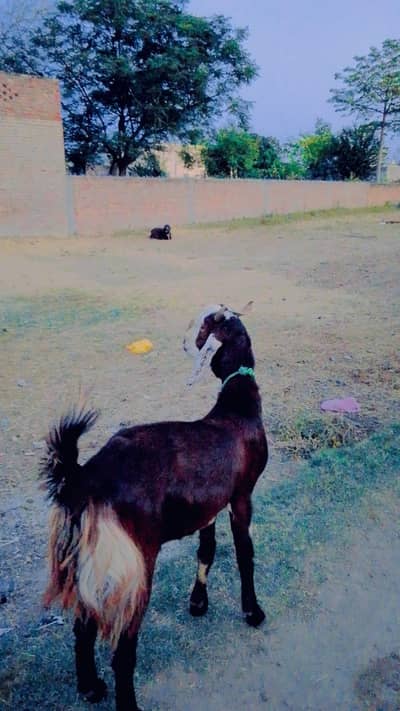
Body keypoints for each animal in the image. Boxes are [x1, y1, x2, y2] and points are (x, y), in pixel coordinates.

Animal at [40, 304, 268, 711]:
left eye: (206, 328)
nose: (186, 343)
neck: (236, 411)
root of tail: (85, 477)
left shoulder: (208, 507)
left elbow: (206, 551)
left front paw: (198, 603)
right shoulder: (241, 495)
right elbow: (245, 553)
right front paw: (252, 612)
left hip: (85, 558)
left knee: (83, 624)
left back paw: (90, 687)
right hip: (137, 563)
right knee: (122, 648)